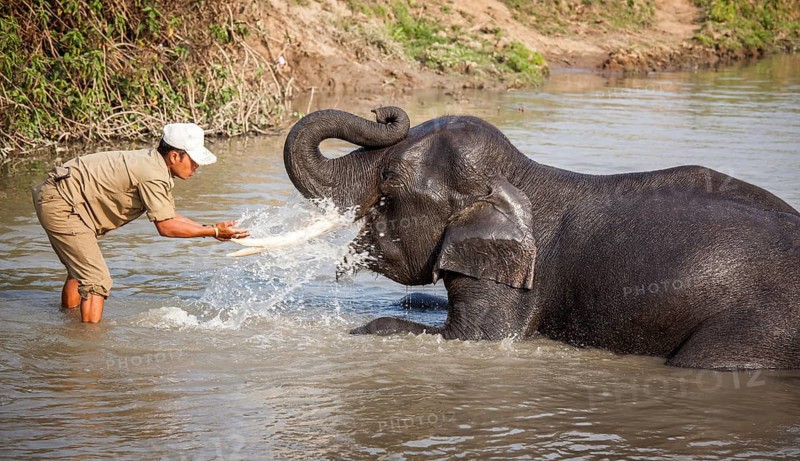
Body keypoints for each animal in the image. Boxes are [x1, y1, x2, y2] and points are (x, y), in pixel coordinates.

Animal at [283, 106, 800, 370]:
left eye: (388, 183)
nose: (384, 111)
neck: (524, 172)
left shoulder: (519, 273)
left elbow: (480, 338)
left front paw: (360, 331)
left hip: (755, 331)